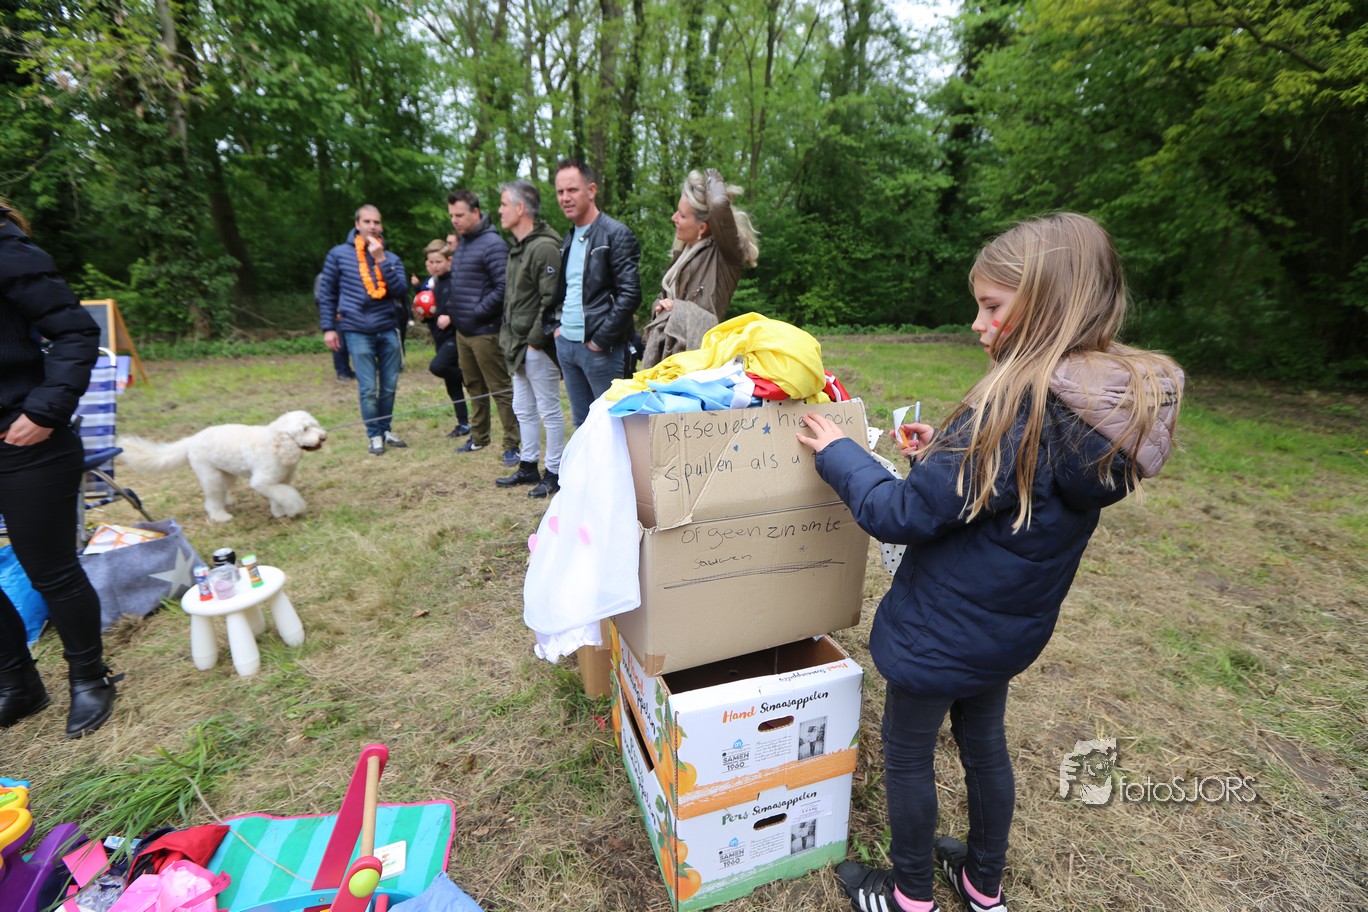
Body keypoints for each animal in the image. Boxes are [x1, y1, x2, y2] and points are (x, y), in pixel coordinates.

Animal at [117, 410, 327, 522]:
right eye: (304, 429)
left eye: (314, 425)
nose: (323, 436)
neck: (277, 445)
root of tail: (191, 440)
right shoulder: (263, 482)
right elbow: (288, 495)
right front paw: (295, 509)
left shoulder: (279, 480)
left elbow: (280, 496)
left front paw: (279, 512)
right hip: (211, 476)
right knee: (212, 500)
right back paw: (220, 516)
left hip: (226, 473)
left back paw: (227, 502)